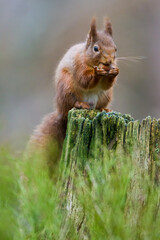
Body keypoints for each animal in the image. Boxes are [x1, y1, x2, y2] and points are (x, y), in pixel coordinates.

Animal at [28, 17, 119, 165]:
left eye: (115, 49)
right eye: (96, 48)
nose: (110, 61)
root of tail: (61, 112)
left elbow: (106, 85)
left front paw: (114, 72)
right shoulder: (78, 64)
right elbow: (84, 80)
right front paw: (97, 73)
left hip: (105, 96)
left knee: (99, 104)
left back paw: (103, 109)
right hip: (67, 88)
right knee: (71, 103)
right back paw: (80, 104)